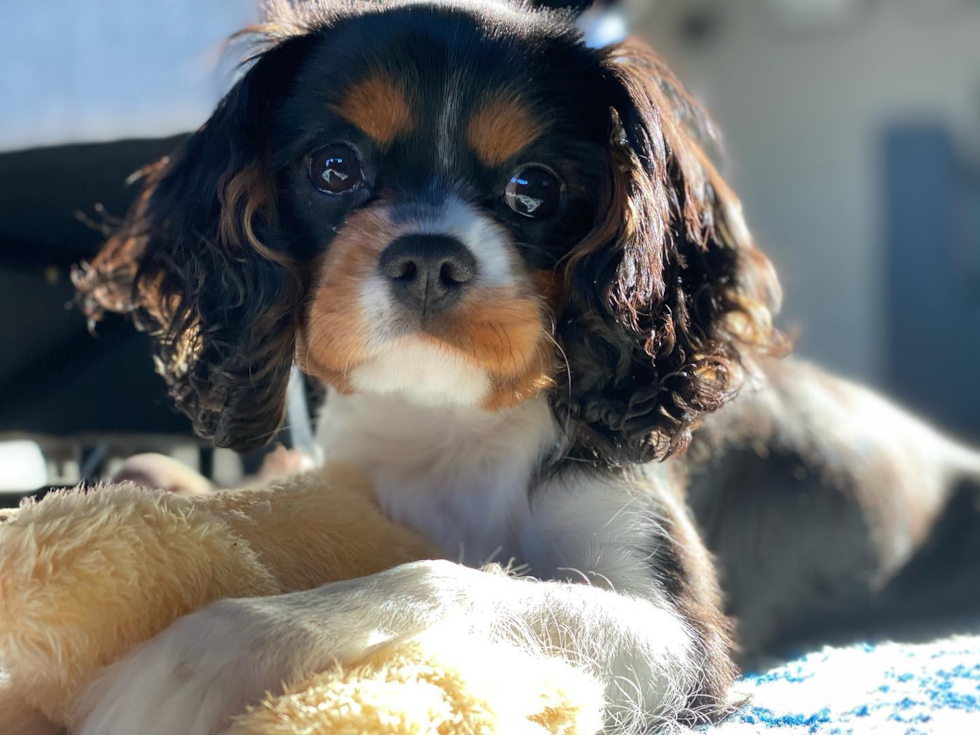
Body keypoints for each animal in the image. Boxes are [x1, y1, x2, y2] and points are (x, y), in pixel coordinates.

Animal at [71, 2, 980, 732]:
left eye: (533, 187)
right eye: (335, 169)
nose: (428, 257)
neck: (452, 423)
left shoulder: (681, 643)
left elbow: (445, 579)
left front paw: (197, 655)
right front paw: (158, 480)